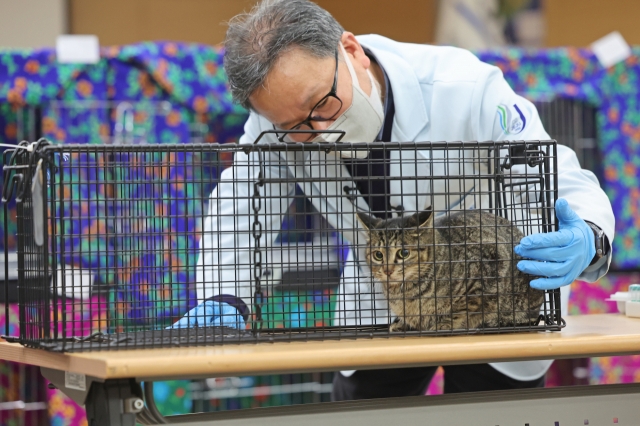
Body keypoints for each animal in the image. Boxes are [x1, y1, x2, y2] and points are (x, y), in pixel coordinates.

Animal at [358, 208, 544, 332]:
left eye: (403, 253)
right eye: (378, 255)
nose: (387, 270)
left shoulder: (491, 265)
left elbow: (464, 308)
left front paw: (443, 324)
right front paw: (403, 324)